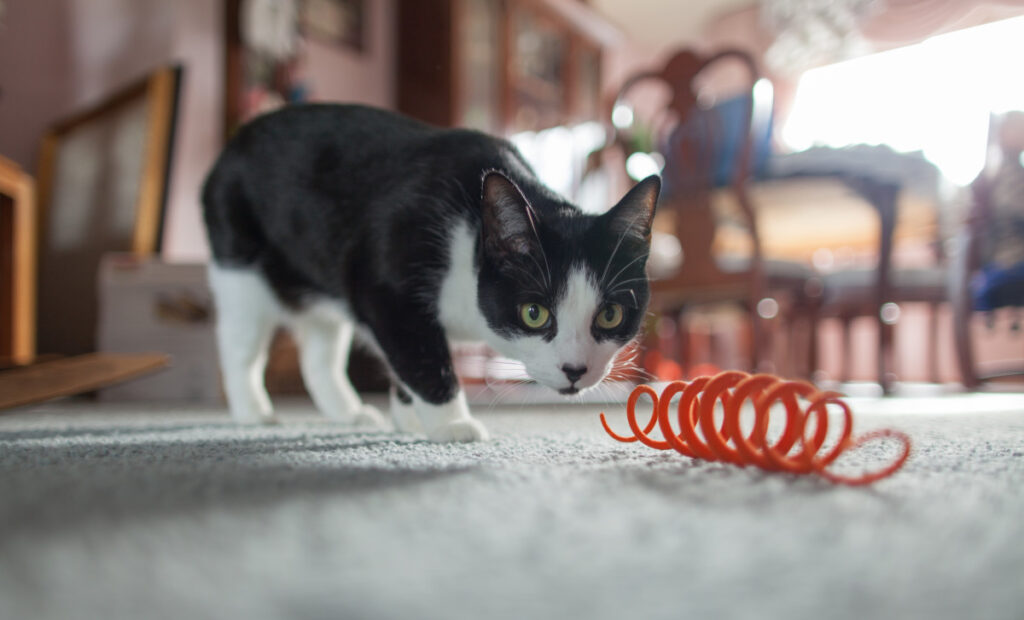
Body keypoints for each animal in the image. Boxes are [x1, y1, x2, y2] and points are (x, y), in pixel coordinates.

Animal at [203, 104, 659, 440]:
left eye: (611, 315)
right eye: (535, 313)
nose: (575, 370)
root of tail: (230, 146)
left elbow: (405, 359)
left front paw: (409, 418)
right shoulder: (385, 287)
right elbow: (423, 355)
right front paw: (450, 424)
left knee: (320, 355)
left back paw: (351, 413)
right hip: (240, 265)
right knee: (239, 346)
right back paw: (253, 412)